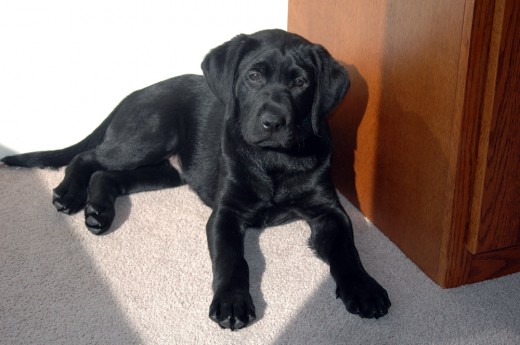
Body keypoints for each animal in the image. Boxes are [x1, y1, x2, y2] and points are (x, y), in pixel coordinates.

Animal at [1, 28, 390, 328]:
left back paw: (98, 212)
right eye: (253, 76)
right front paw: (232, 301)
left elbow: (347, 249)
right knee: (87, 157)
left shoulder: (328, 210)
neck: (275, 159)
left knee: (108, 175)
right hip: (151, 136)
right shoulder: (226, 212)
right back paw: (69, 194)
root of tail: (134, 93)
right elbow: (232, 258)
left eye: (300, 82)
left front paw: (364, 288)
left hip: (167, 169)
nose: (273, 123)